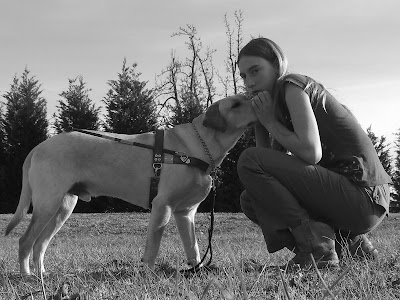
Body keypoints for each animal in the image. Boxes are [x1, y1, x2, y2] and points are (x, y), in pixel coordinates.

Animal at [5, 95, 256, 276]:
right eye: (236, 104)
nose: (258, 98)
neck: (197, 147)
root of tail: (38, 147)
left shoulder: (185, 213)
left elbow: (193, 248)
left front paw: (198, 271)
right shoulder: (162, 206)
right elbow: (153, 246)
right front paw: (149, 273)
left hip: (63, 207)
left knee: (40, 243)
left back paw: (42, 274)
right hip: (48, 204)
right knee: (25, 241)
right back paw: (27, 275)